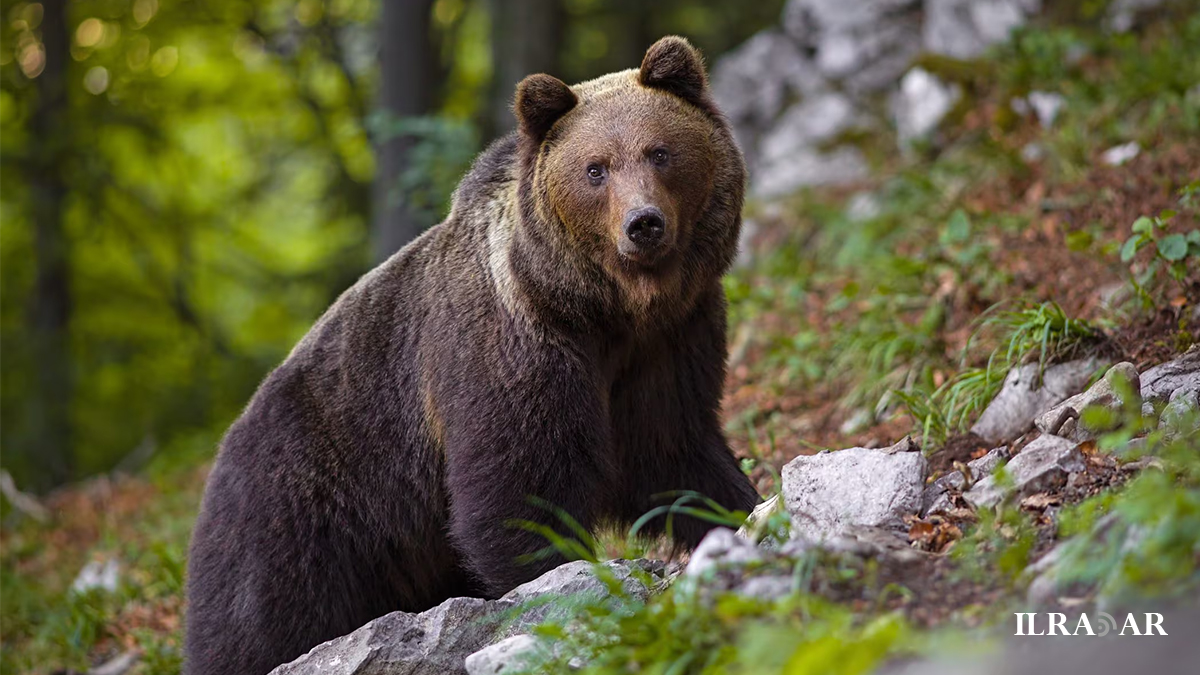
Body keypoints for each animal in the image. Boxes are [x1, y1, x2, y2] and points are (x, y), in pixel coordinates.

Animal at [182, 36, 753, 672]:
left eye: (660, 152)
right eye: (596, 168)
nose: (643, 224)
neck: (604, 310)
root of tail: (218, 456)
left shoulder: (670, 343)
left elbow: (674, 450)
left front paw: (738, 510)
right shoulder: (513, 348)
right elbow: (518, 485)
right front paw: (556, 583)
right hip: (298, 510)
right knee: (258, 623)